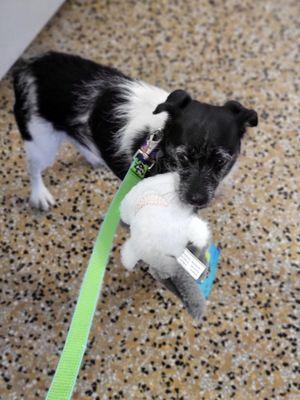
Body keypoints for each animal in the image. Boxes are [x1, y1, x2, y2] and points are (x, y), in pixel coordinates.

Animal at [12, 51, 258, 211]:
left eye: (221, 161)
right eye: (183, 157)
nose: (196, 200)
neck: (159, 149)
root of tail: (28, 66)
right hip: (41, 141)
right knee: (33, 168)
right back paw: (39, 195)